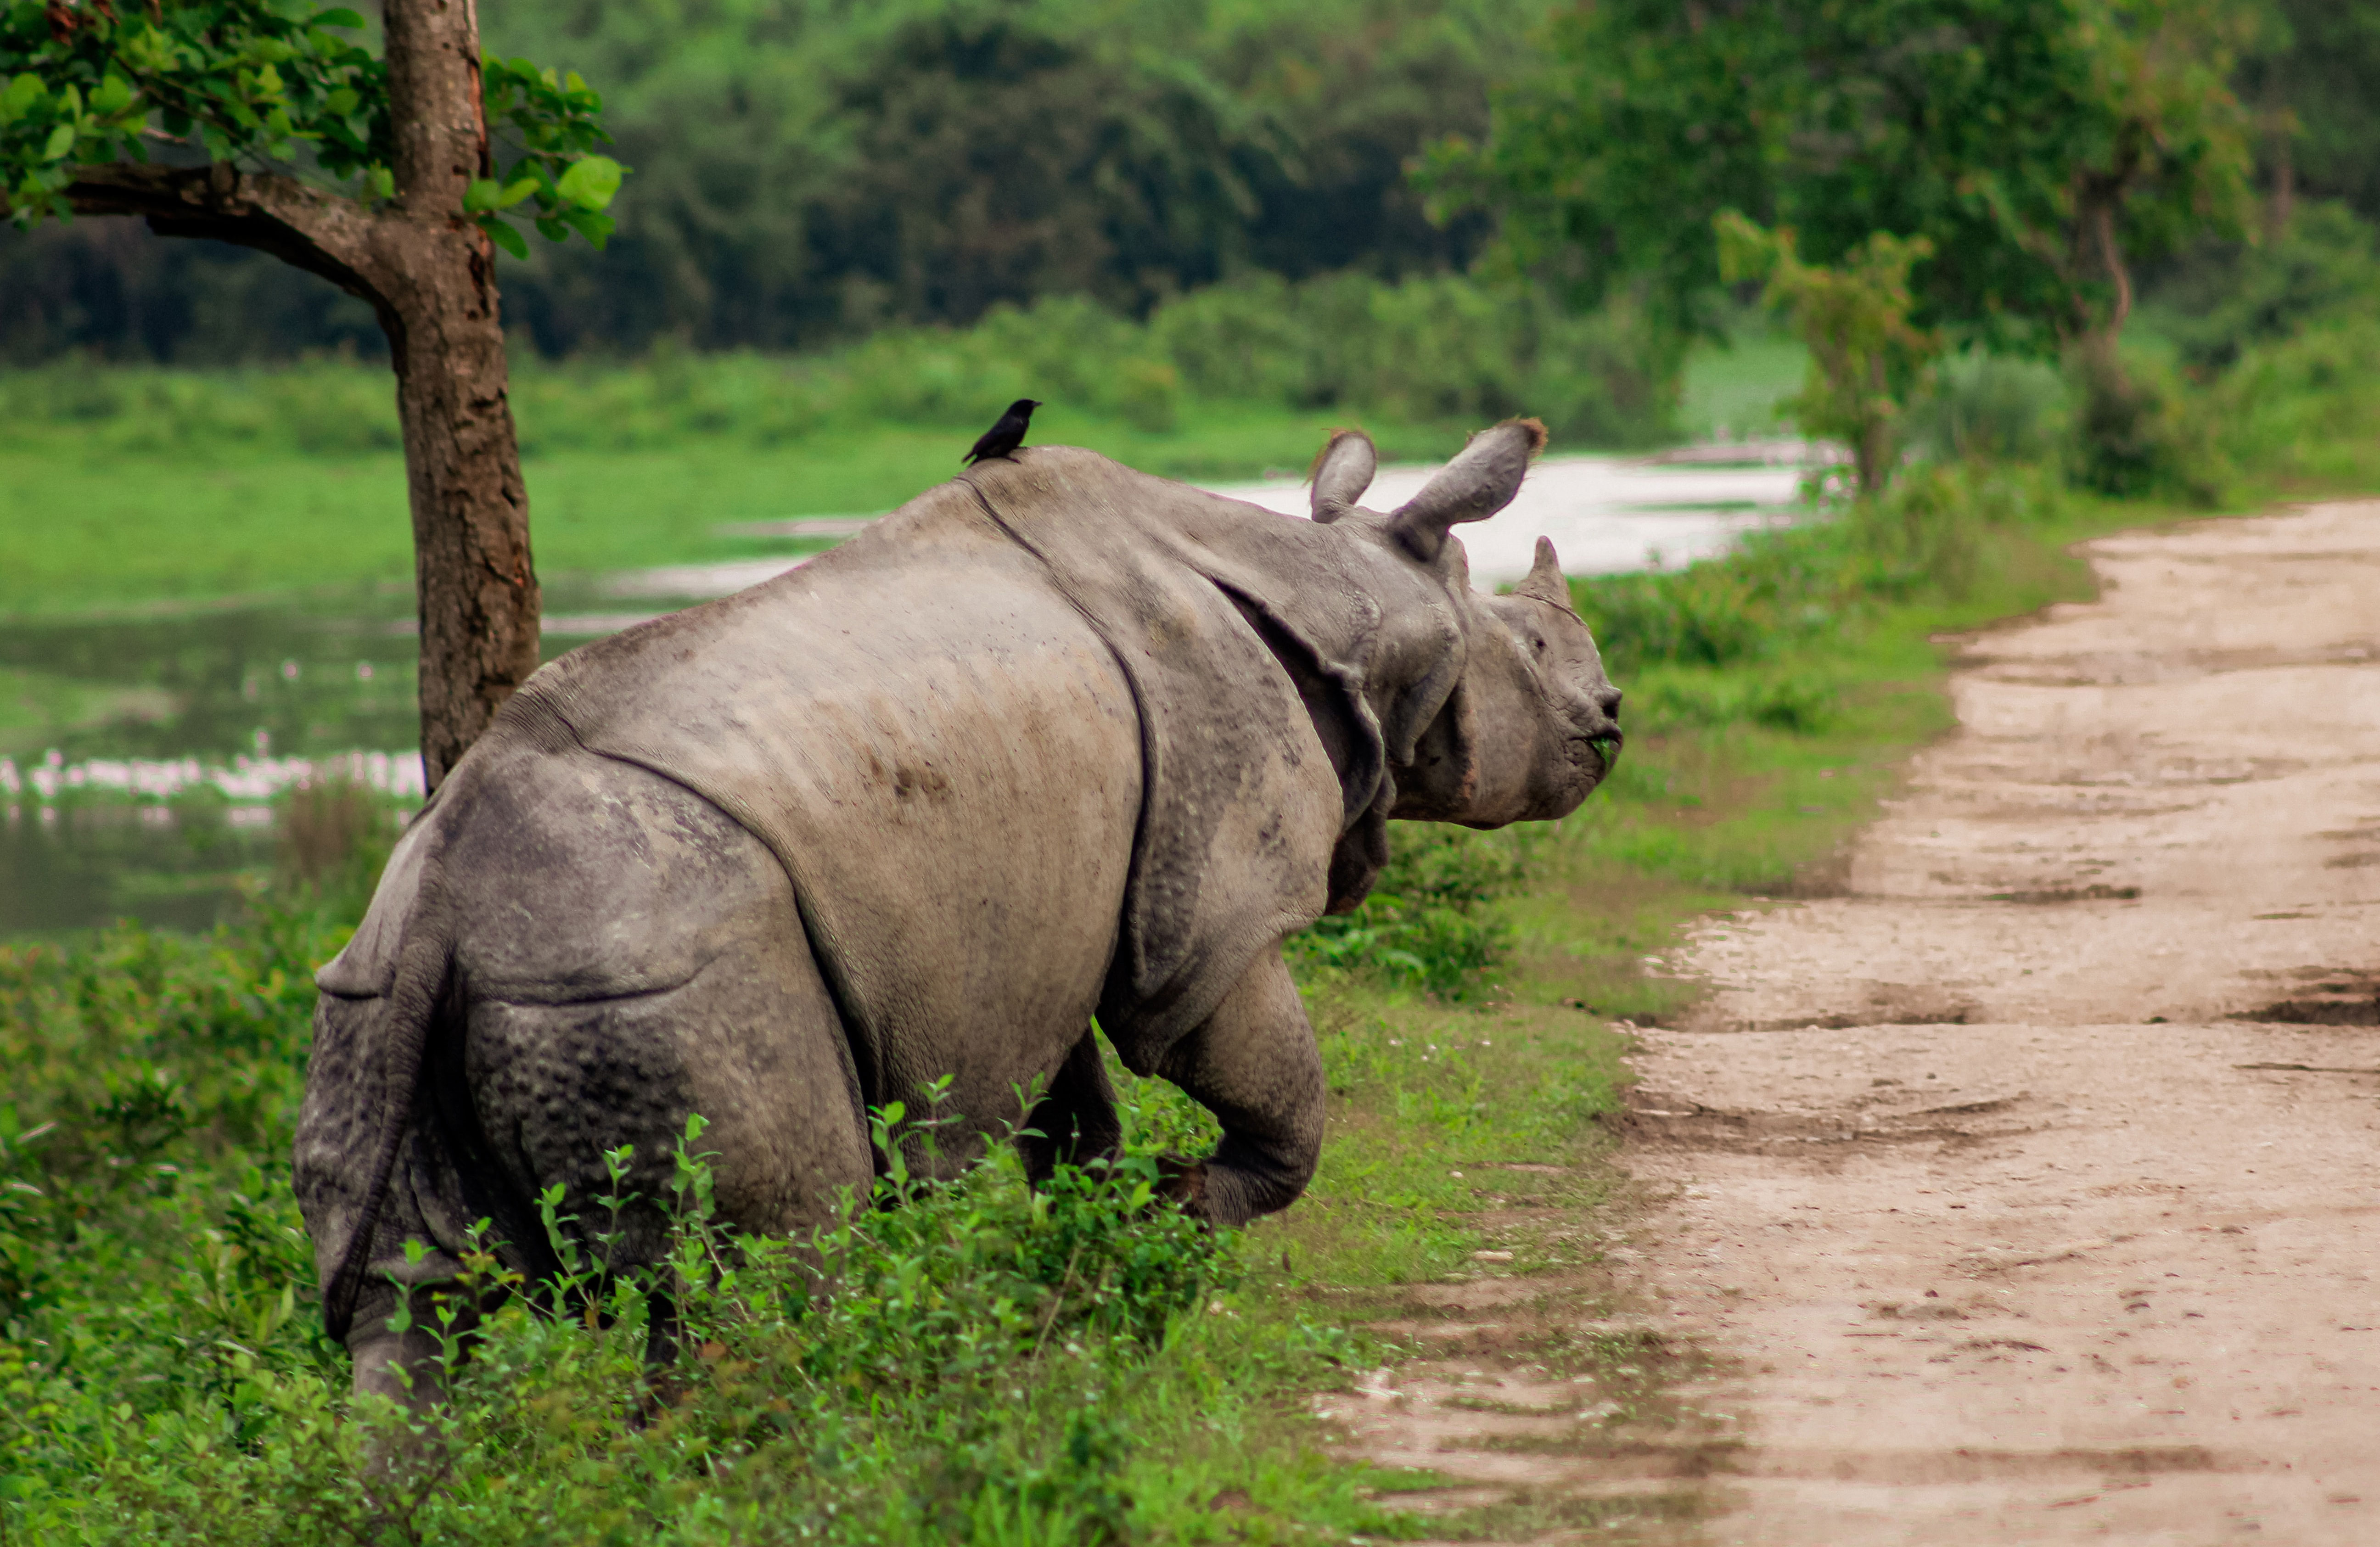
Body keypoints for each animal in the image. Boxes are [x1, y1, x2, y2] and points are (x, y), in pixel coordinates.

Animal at [295, 420, 1623, 1405]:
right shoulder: (1204, 919)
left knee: (411, 1317)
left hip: (385, 994)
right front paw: (1187, 1208)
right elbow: (1268, 1084)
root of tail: (446, 896)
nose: (1611, 725)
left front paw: (1103, 1265)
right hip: (656, 970)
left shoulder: (1039, 925)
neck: (1355, 603)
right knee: (768, 1280)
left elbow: (1071, 1116)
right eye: (1531, 646)